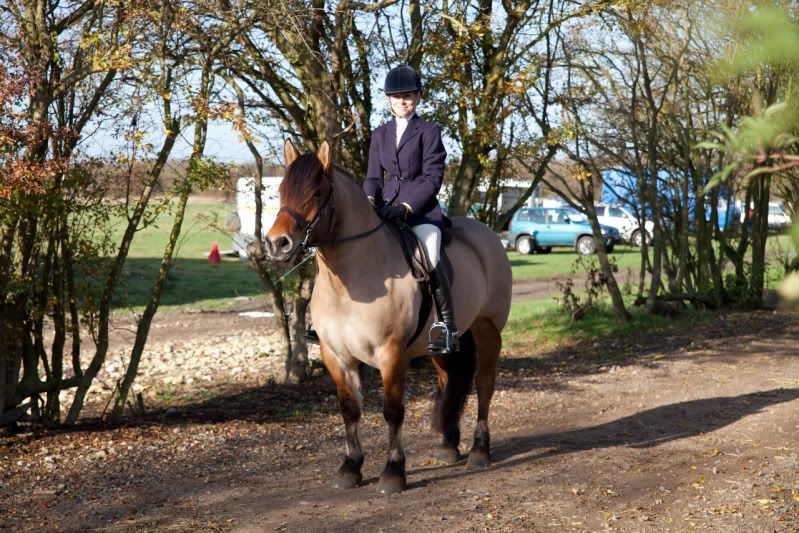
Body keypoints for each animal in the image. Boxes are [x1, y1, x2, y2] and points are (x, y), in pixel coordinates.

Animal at [265, 140, 512, 494]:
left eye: (317, 193)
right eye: (282, 192)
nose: (277, 244)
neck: (349, 281)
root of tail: (487, 235)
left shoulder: (391, 351)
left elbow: (393, 411)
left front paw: (393, 471)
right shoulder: (334, 354)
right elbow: (350, 409)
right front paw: (350, 467)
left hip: (488, 329)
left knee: (484, 384)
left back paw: (480, 451)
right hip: (439, 345)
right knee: (448, 379)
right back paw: (448, 445)